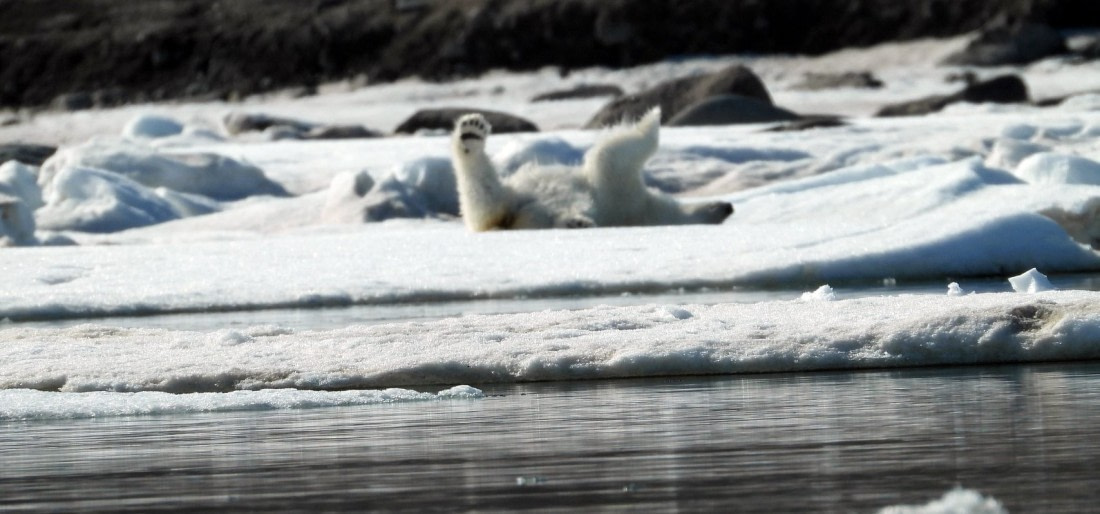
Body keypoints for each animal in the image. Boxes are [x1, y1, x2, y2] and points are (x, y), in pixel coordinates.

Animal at [450, 108, 734, 231]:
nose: (728, 206)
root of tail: (511, 221)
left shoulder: (621, 187)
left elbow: (611, 155)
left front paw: (651, 119)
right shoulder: (630, 194)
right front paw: (655, 115)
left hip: (516, 205)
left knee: (485, 200)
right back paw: (471, 132)